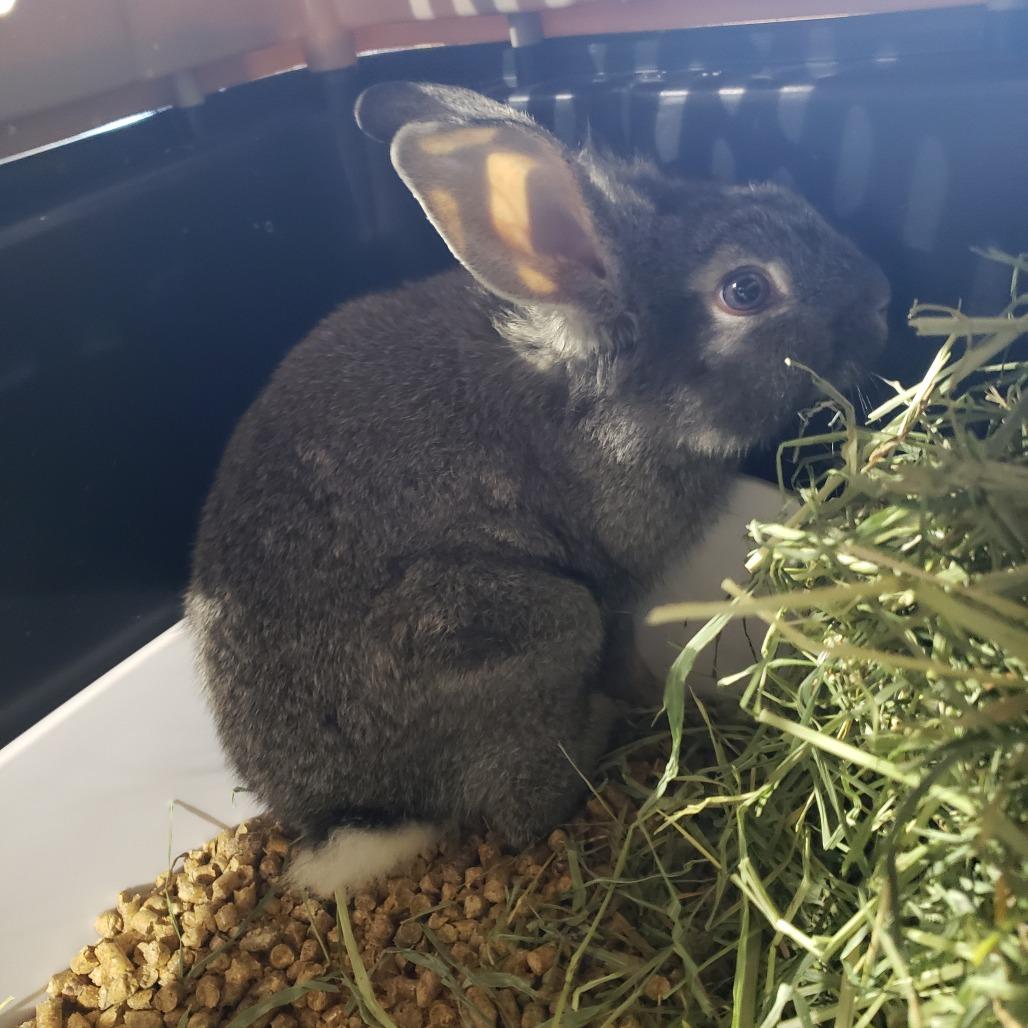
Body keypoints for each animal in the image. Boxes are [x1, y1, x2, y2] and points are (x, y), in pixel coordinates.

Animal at [186, 81, 890, 897]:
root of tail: (355, 815)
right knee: (522, 809)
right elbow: (623, 650)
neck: (607, 387)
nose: (878, 295)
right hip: (531, 625)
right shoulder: (611, 592)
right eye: (746, 289)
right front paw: (652, 695)